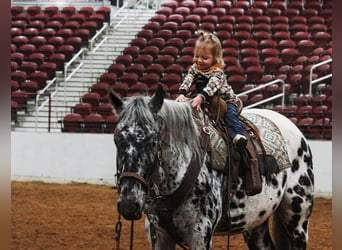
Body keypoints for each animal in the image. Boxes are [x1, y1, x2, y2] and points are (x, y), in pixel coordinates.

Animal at [111, 84, 314, 250]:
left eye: (153, 141)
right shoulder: (158, 233)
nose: (129, 204)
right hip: (255, 222)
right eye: (117, 140)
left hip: (297, 218)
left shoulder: (201, 232)